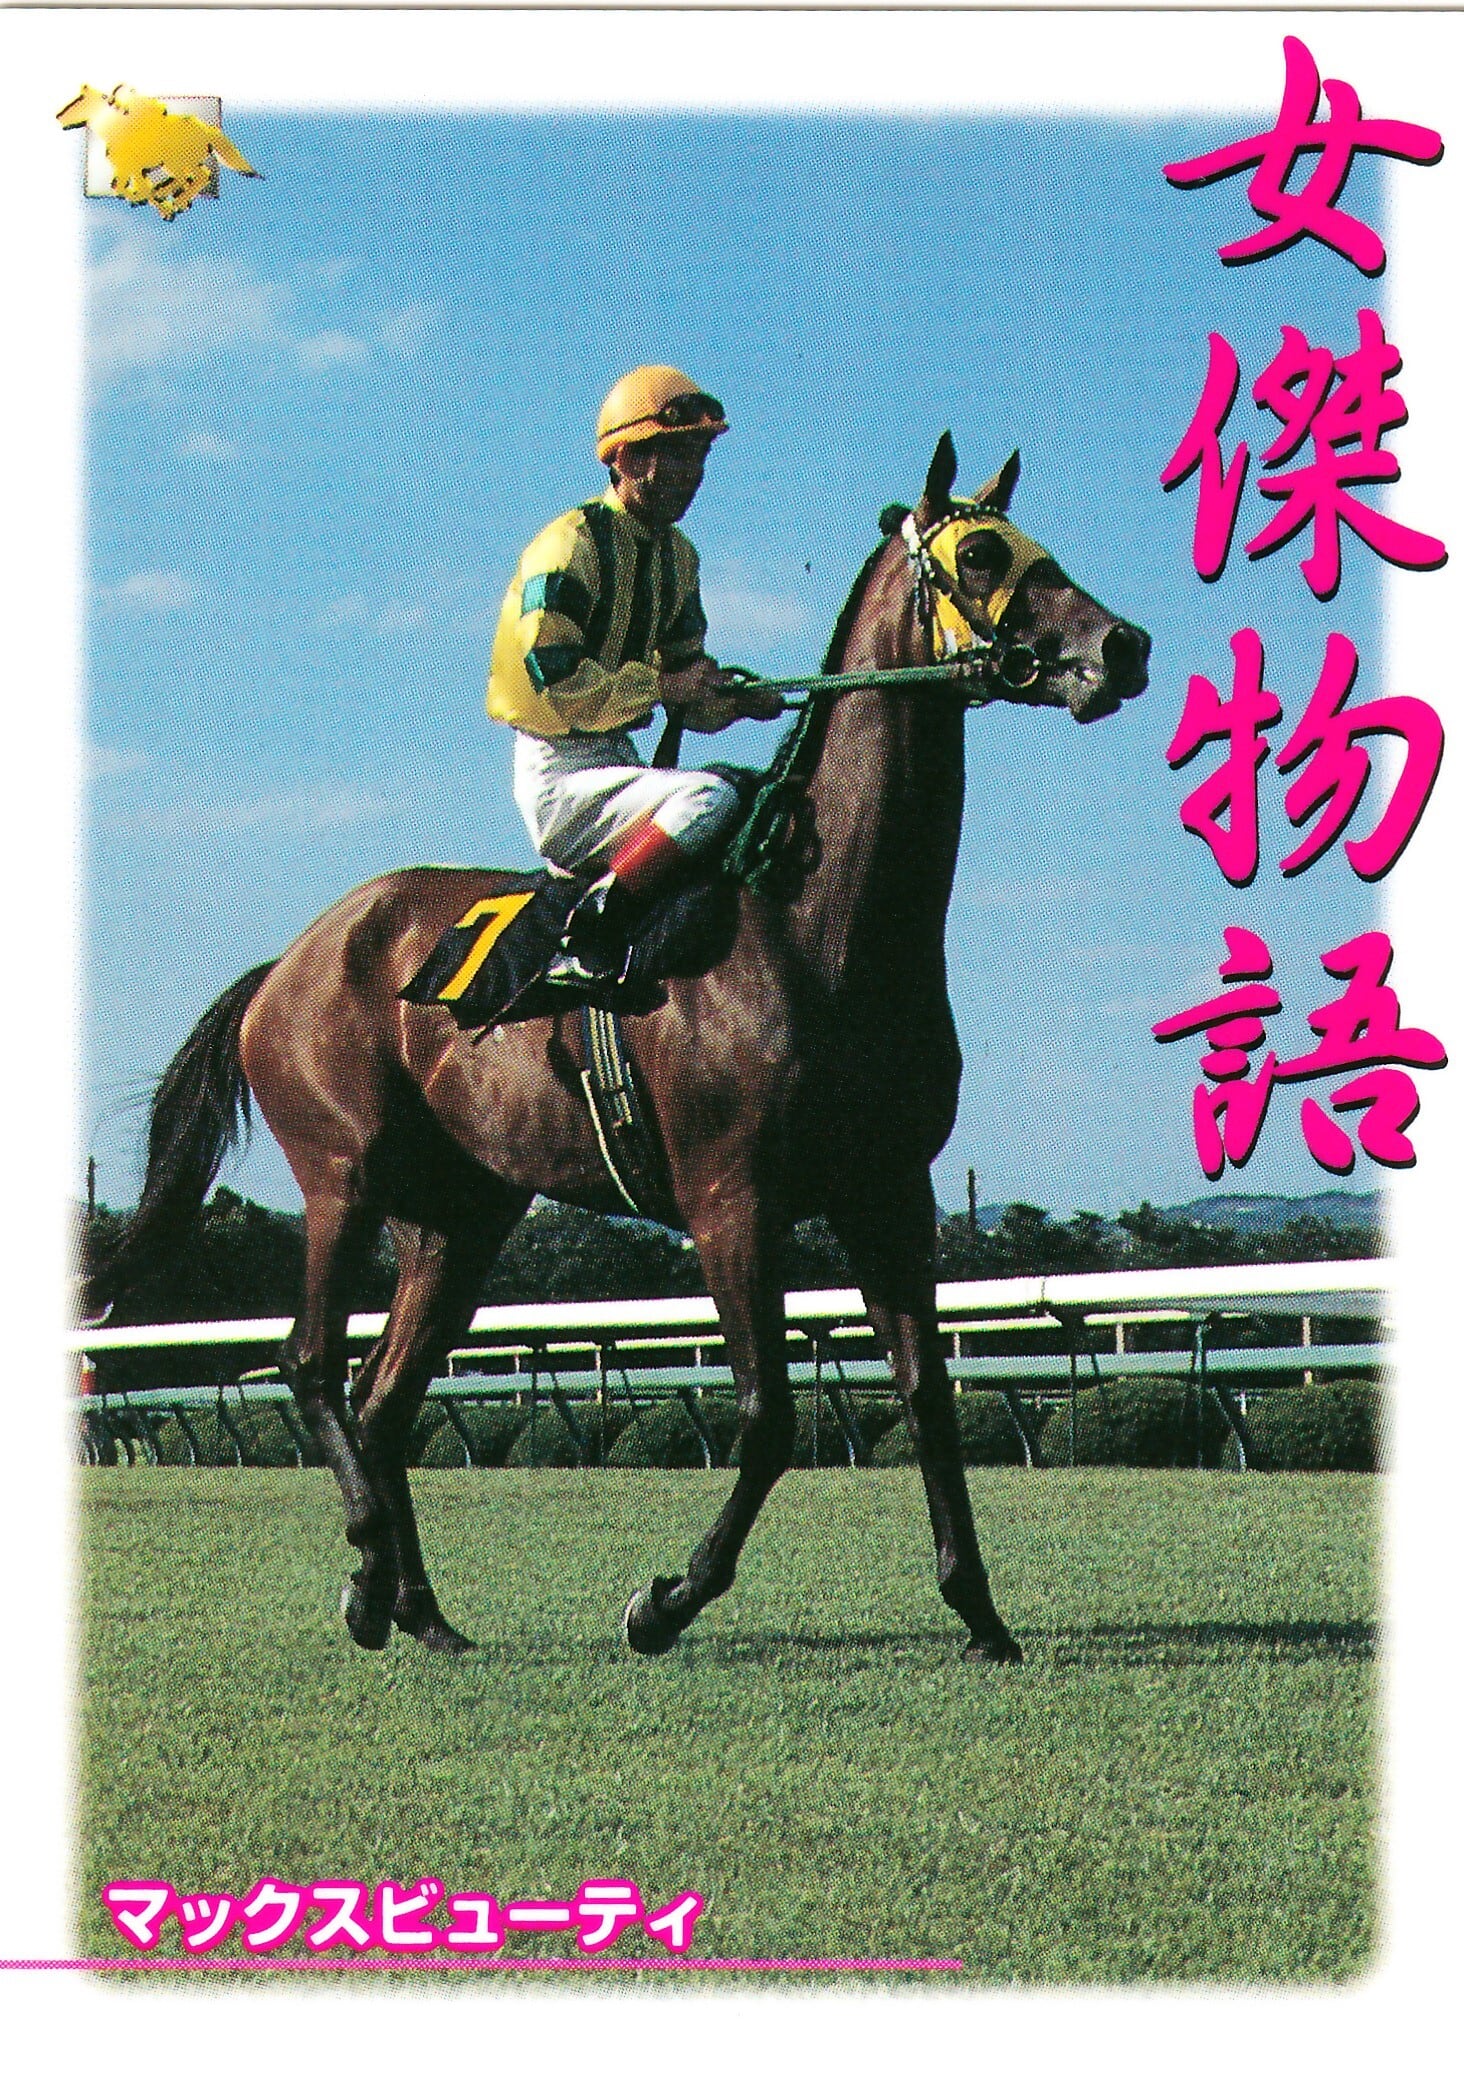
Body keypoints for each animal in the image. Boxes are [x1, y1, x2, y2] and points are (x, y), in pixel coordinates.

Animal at [90, 434, 1149, 1664]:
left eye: (1039, 546)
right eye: (981, 554)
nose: (1122, 646)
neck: (817, 923)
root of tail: (289, 960)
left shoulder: (890, 1189)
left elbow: (929, 1393)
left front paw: (979, 1612)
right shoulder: (732, 1196)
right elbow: (767, 1415)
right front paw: (665, 1600)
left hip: (457, 1214)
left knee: (385, 1397)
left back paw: (413, 1604)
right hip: (342, 1177)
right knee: (313, 1364)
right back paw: (365, 1565)